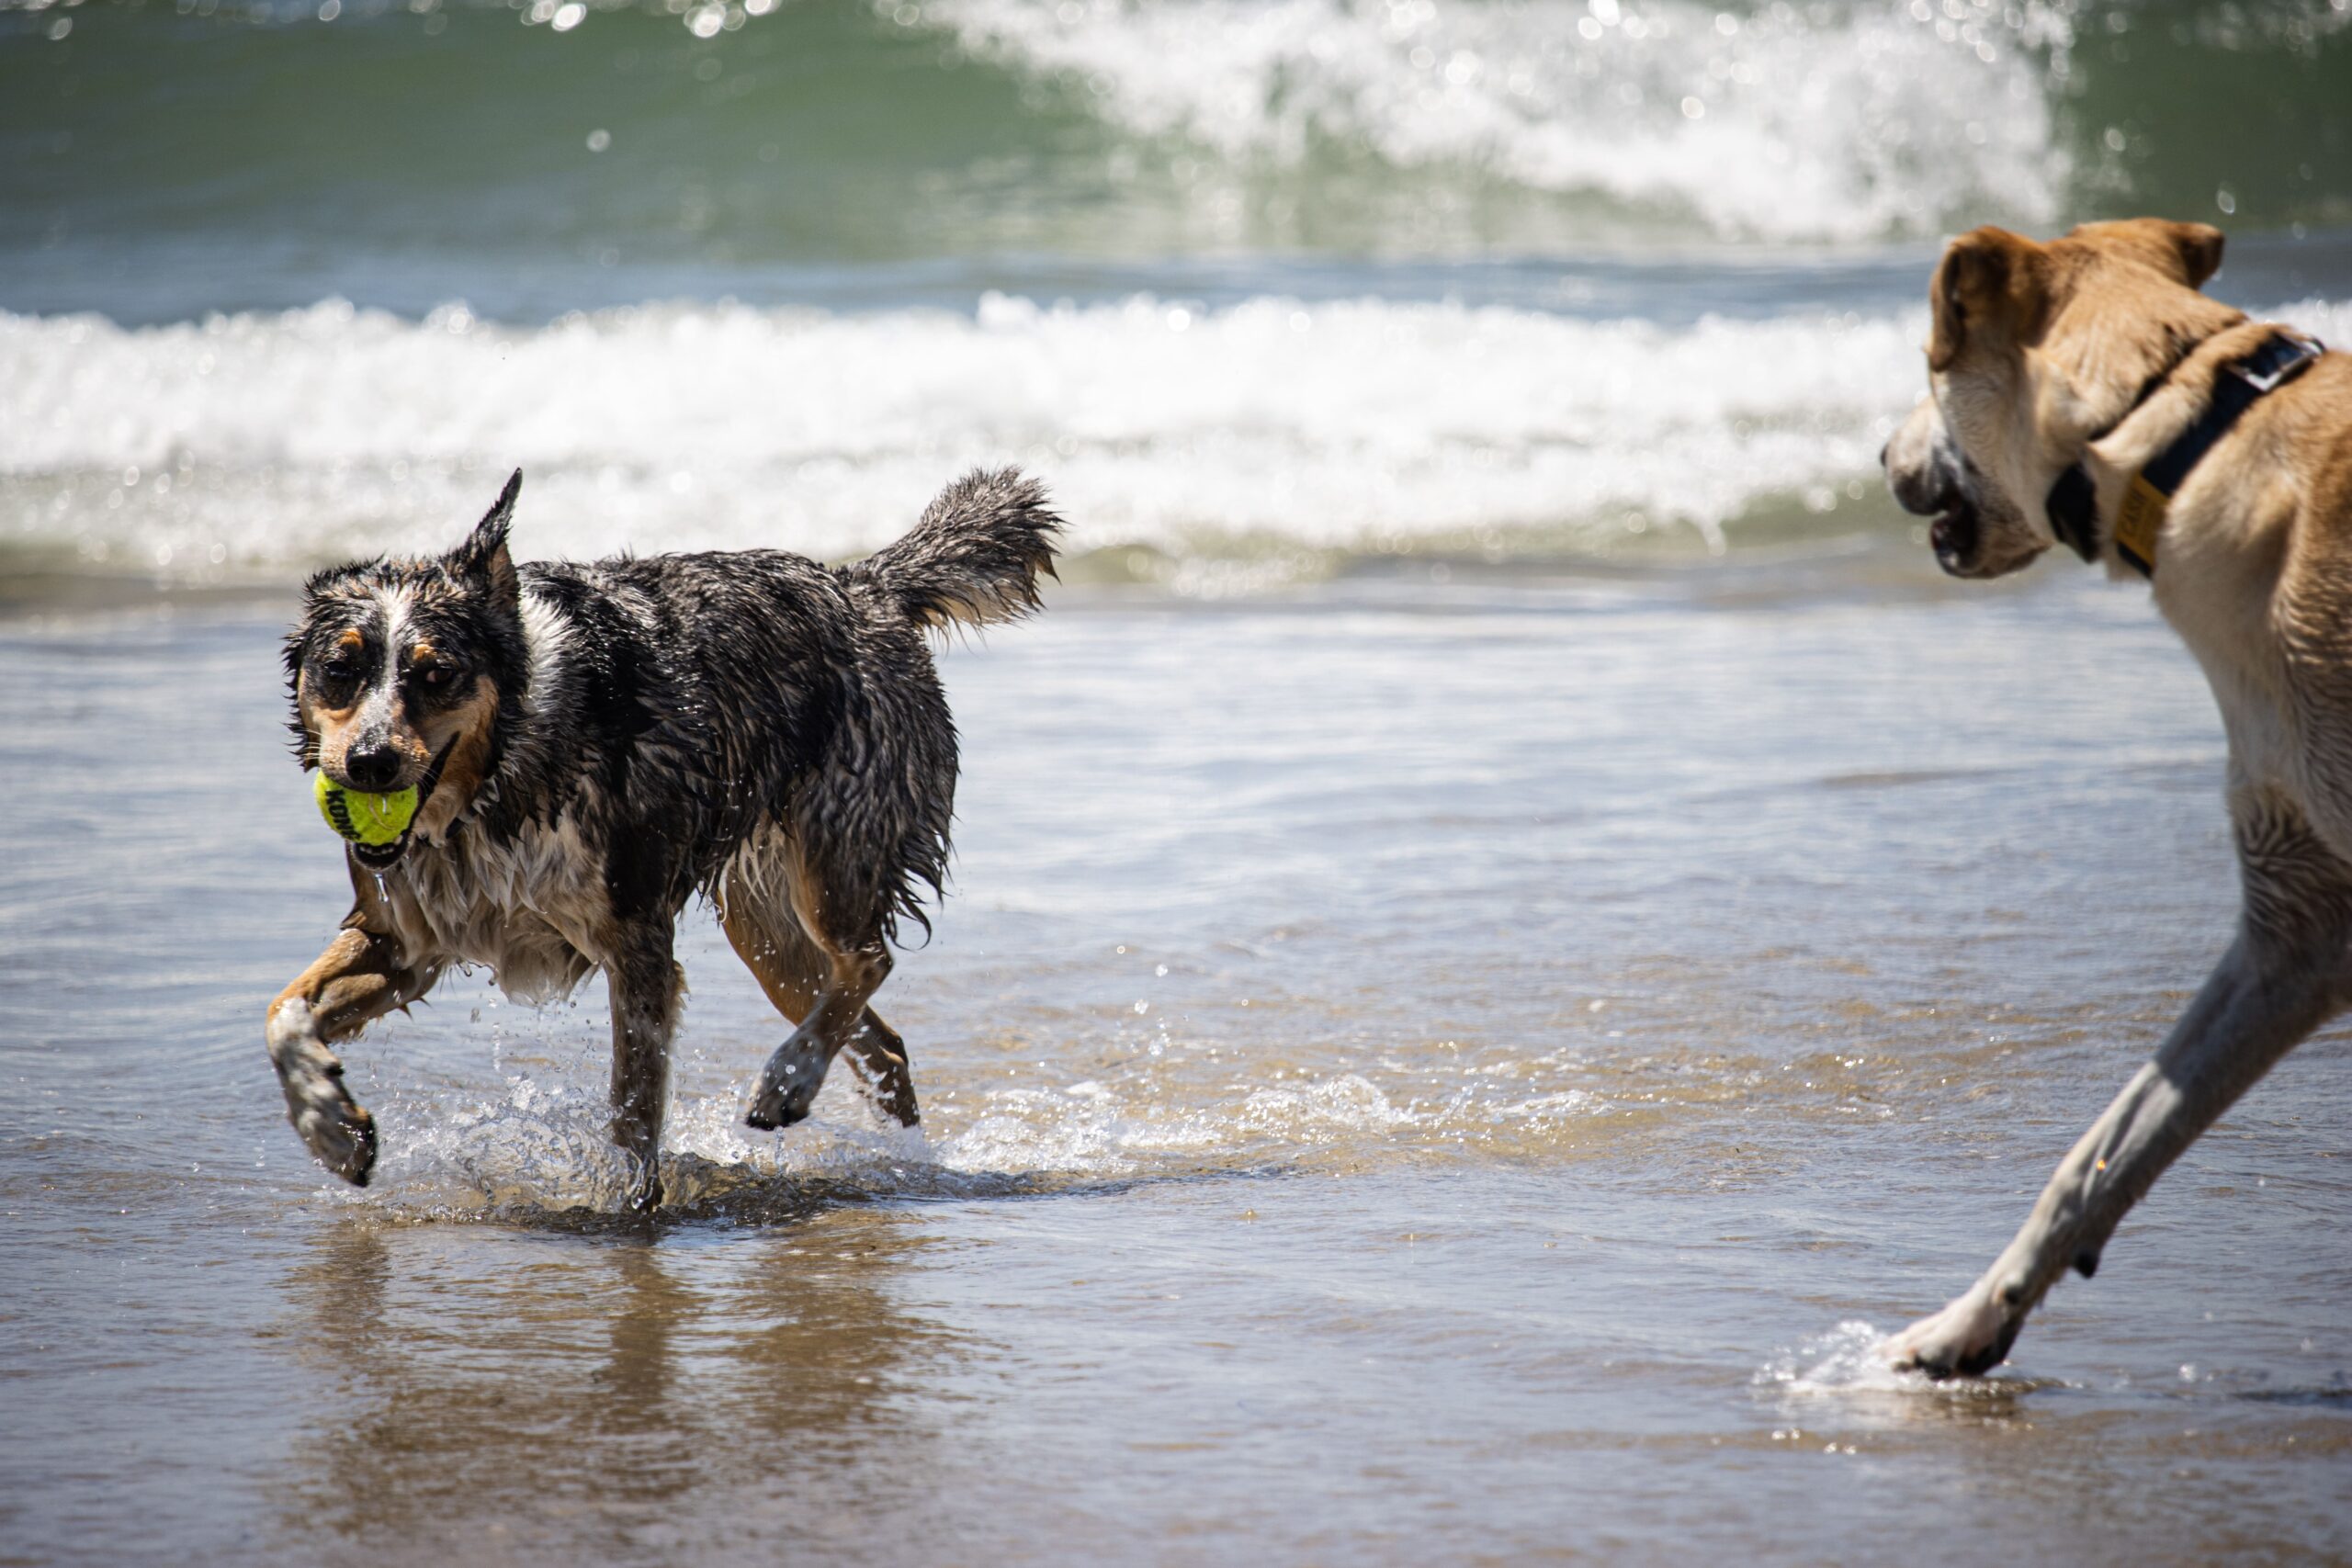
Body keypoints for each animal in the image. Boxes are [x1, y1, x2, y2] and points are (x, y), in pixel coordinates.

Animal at [269, 469, 1068, 1213]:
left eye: (437, 673)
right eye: (339, 669)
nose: (371, 763)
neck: (503, 778)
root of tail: (862, 586)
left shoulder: (637, 943)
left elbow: (633, 1108)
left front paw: (632, 1209)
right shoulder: (401, 937)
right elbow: (284, 1012)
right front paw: (332, 1128)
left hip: (838, 851)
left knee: (867, 960)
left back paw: (789, 1077)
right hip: (765, 935)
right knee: (883, 1039)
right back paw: (886, 1141)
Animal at [1871, 217, 2352, 1372]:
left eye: (1927, 364)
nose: (1875, 456)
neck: (2186, 431)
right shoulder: (2298, 921)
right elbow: (2109, 1143)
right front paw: (1966, 1324)